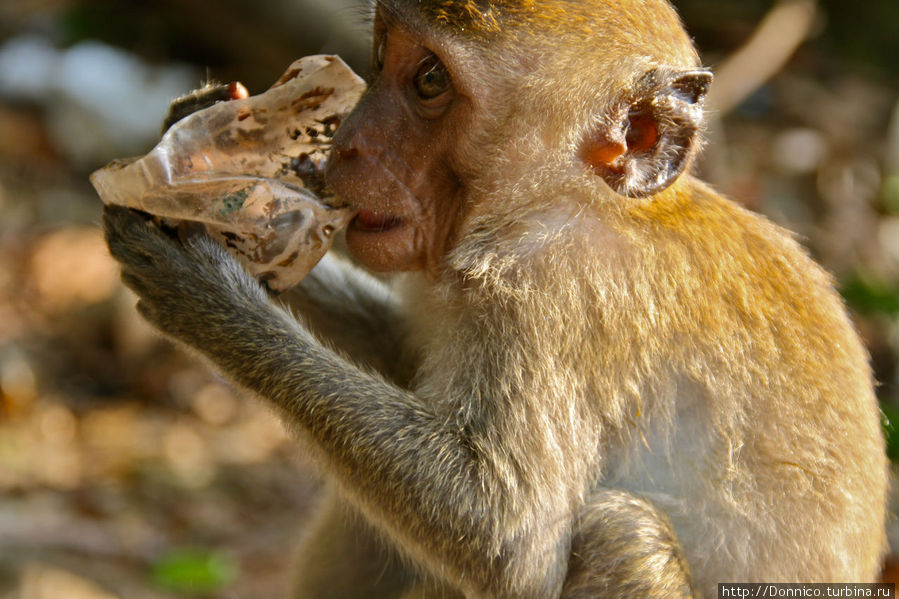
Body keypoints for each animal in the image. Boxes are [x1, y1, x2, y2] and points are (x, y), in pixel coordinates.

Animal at [102, 0, 888, 596]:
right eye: (383, 52)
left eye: (429, 80)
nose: (346, 143)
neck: (566, 199)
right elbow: (409, 360)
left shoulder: (552, 290)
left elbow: (507, 536)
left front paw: (208, 292)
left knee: (621, 536)